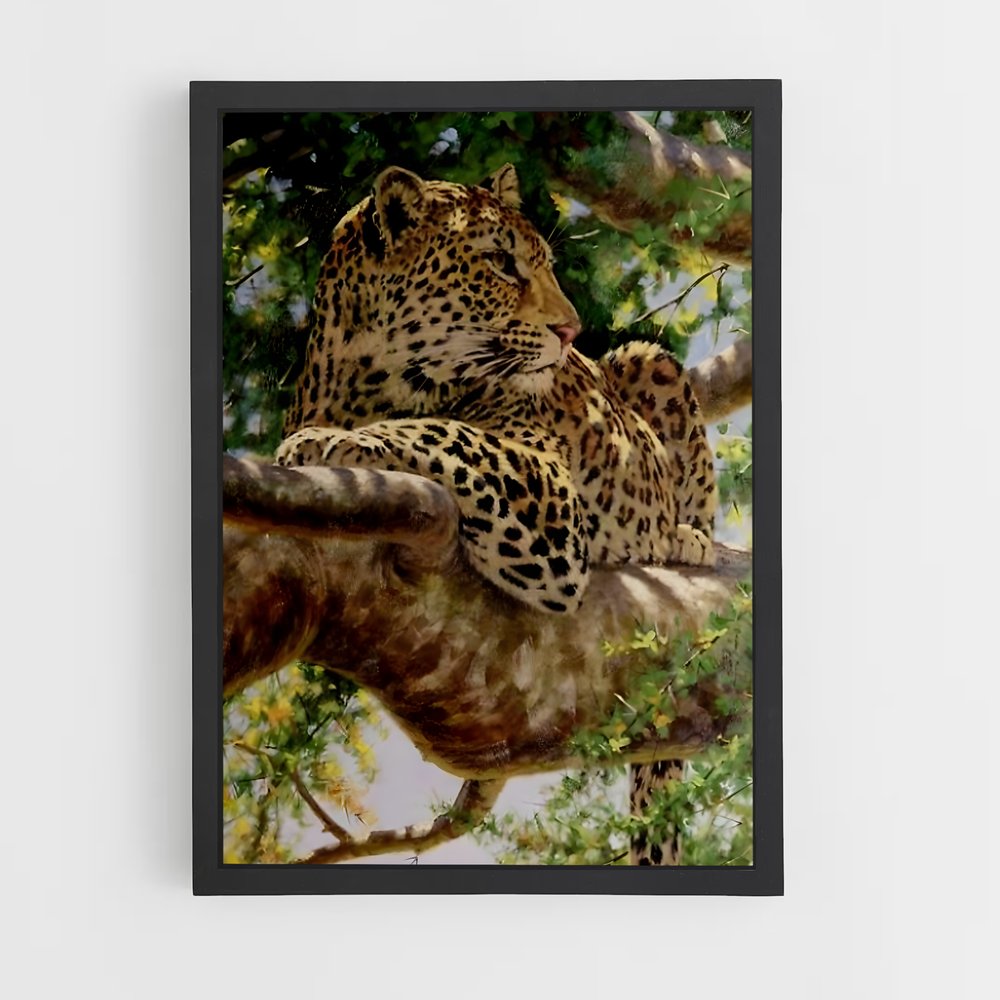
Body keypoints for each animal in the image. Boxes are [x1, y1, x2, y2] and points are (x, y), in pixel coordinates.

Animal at [275, 164, 717, 862]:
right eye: (500, 263)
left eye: (543, 264)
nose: (571, 334)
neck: (371, 378)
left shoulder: (545, 489)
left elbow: (441, 430)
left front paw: (330, 441)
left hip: (648, 360)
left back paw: (683, 538)